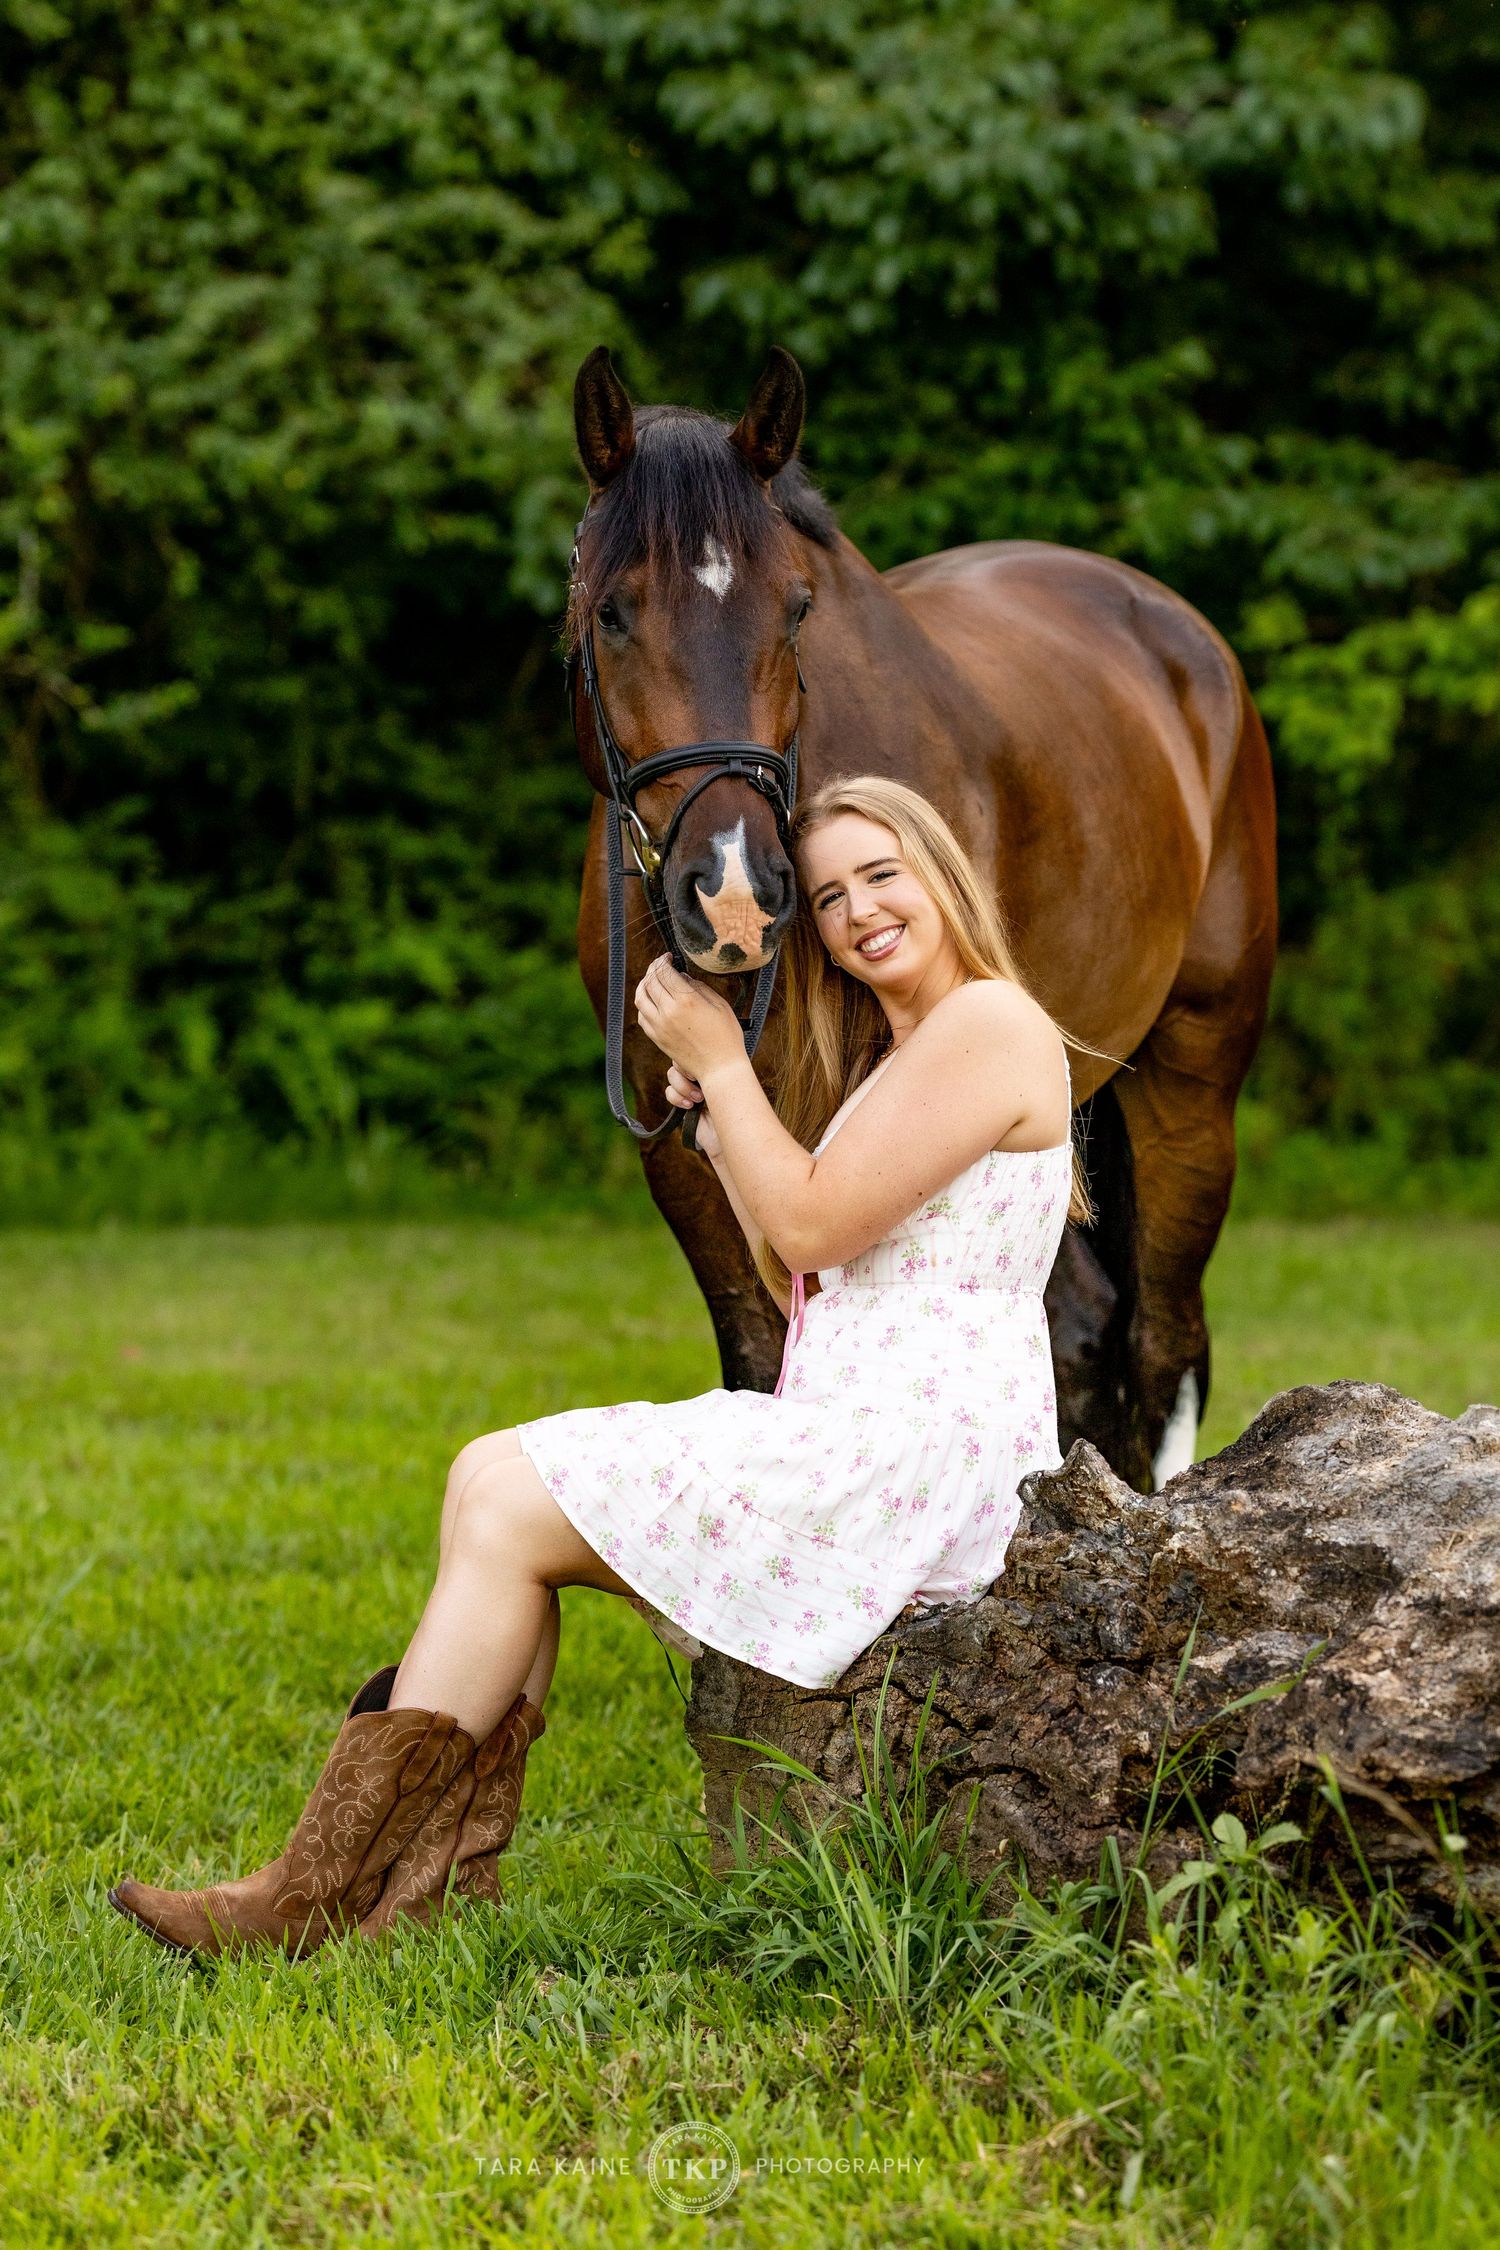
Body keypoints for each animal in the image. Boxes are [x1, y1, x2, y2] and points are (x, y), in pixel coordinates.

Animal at [568, 345, 1277, 1492]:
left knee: (1163, 1341)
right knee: (1082, 1330)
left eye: (794, 610)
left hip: (1190, 1082)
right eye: (611, 612)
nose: (733, 892)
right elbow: (759, 1364)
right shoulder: (688, 1152)